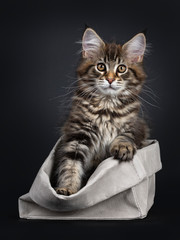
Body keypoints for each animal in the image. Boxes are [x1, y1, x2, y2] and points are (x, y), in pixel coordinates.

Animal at [51, 28, 149, 196]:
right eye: (101, 67)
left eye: (121, 68)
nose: (110, 79)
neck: (107, 108)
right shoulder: (76, 135)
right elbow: (70, 165)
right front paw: (68, 188)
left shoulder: (137, 126)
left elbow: (126, 136)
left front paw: (123, 147)